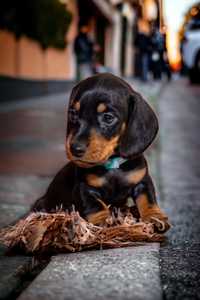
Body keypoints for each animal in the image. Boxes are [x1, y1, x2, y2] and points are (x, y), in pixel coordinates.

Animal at [32, 72, 170, 232]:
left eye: (108, 117)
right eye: (73, 114)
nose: (75, 148)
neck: (112, 164)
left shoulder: (142, 181)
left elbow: (148, 199)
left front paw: (155, 217)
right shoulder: (84, 187)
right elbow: (95, 205)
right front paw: (104, 221)